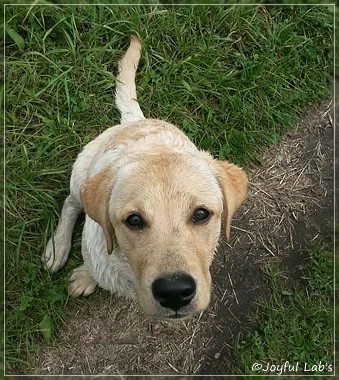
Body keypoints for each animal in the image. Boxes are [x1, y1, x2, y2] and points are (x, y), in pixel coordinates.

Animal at [43, 35, 248, 320]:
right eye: (134, 220)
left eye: (201, 214)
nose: (174, 292)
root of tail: (135, 119)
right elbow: (91, 265)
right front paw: (85, 277)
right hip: (81, 172)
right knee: (70, 204)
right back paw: (57, 247)